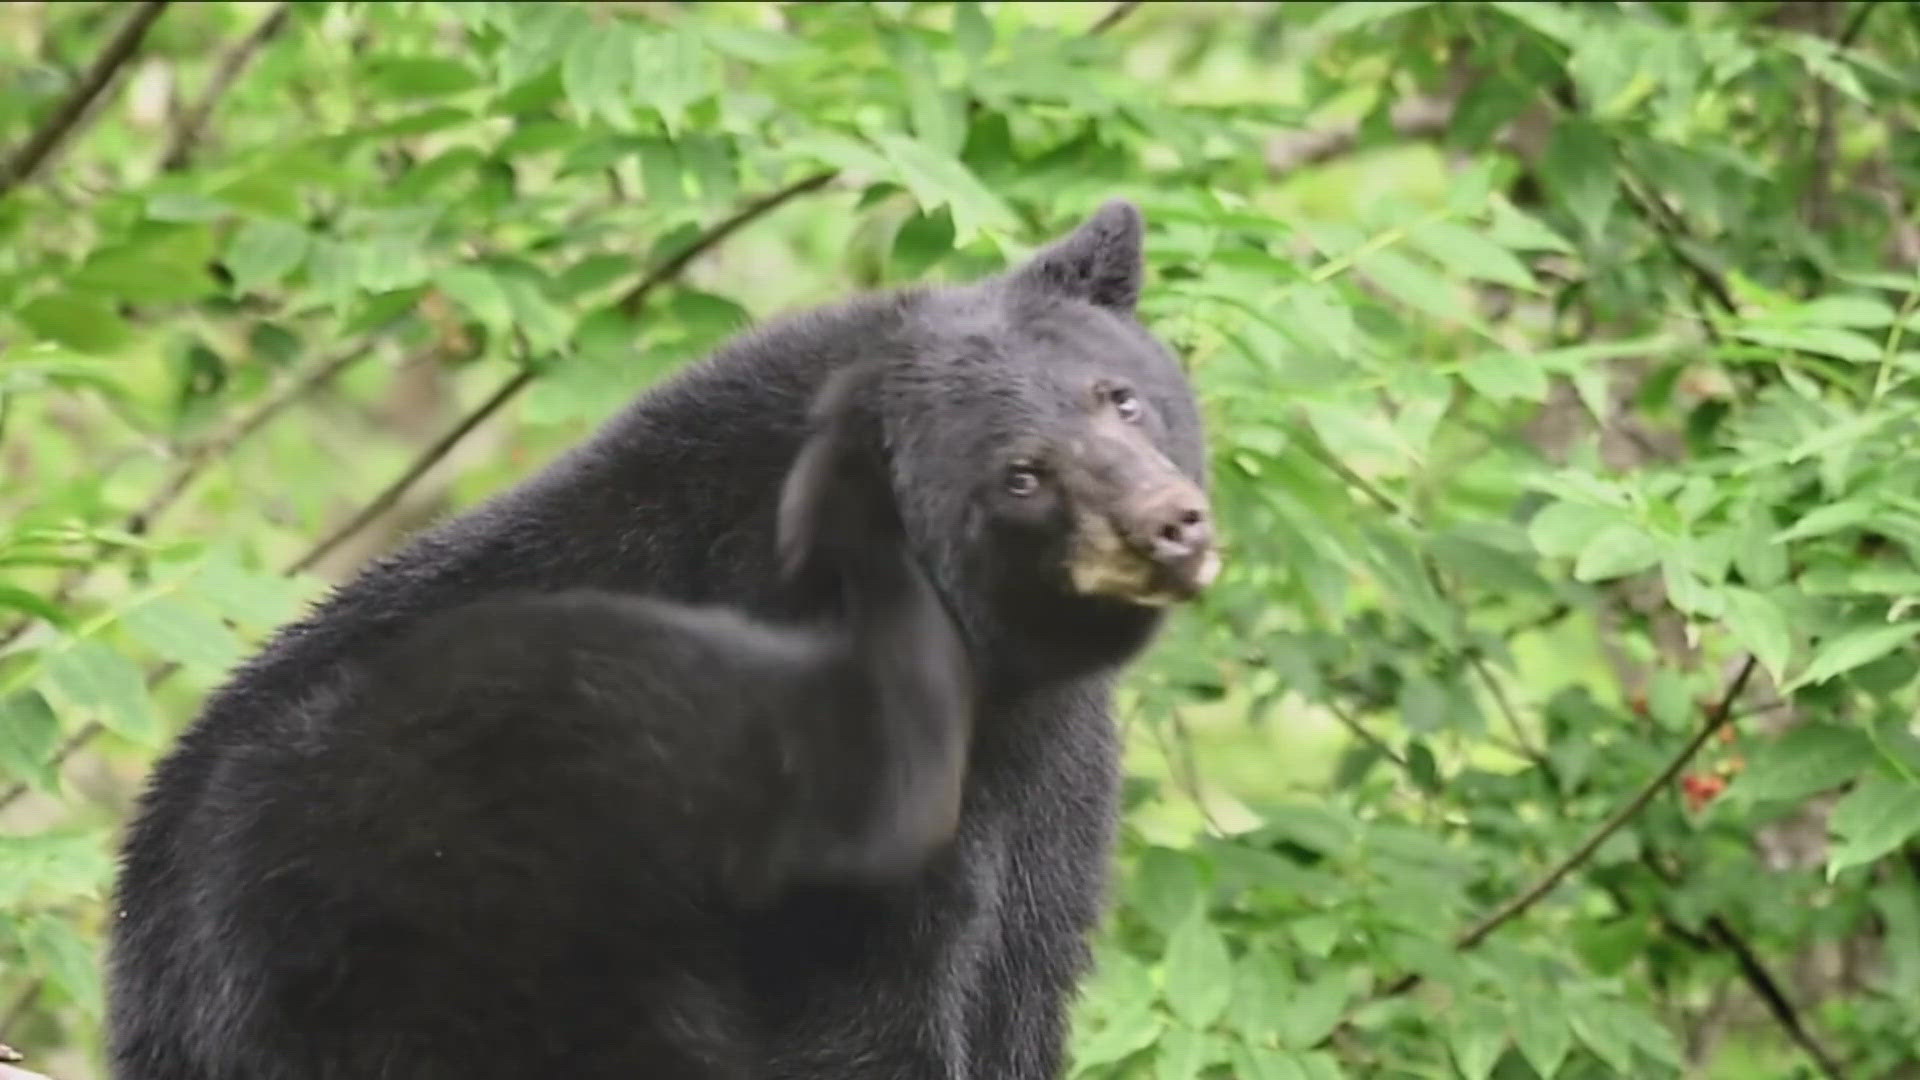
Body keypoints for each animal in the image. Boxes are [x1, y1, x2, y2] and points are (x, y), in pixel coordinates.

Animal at [105, 197, 1213, 1068]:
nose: (1170, 524)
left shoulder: (1043, 799)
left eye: (1120, 400)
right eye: (1020, 473)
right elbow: (863, 1013)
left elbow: (1020, 978)